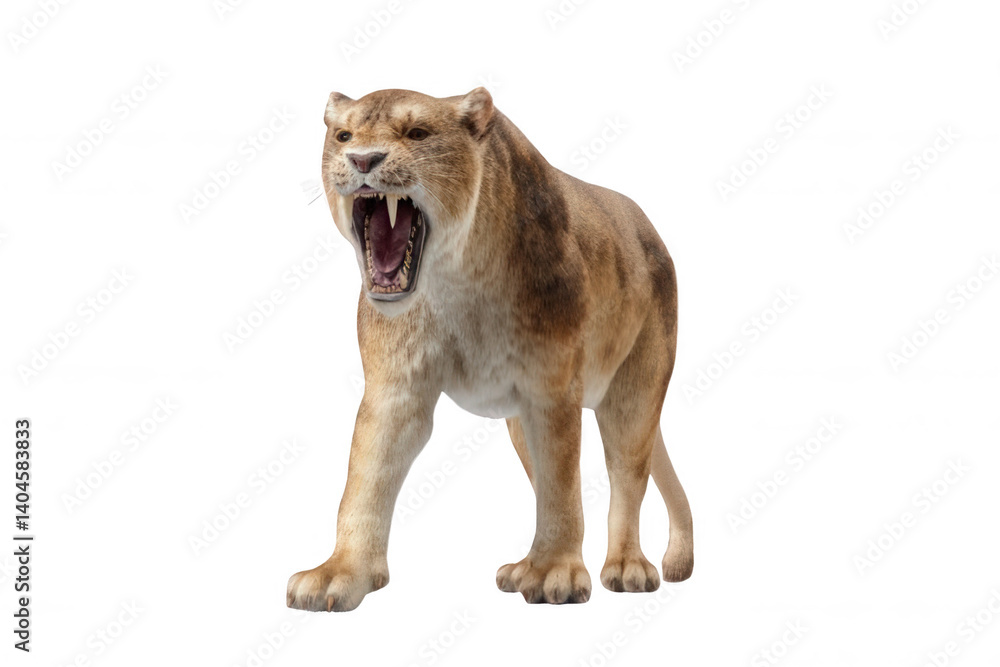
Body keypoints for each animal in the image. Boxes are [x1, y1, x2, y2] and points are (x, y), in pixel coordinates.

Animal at [286, 87, 693, 611]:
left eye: (417, 133)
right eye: (343, 135)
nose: (361, 160)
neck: (458, 275)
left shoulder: (551, 390)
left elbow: (564, 485)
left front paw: (557, 572)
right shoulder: (395, 390)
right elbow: (365, 479)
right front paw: (340, 573)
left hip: (633, 392)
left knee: (625, 475)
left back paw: (624, 568)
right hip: (520, 421)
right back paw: (526, 565)